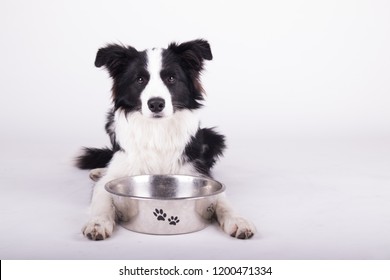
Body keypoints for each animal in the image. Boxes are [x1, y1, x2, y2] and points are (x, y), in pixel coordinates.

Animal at [77, 40, 254, 241]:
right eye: (140, 80)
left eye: (171, 78)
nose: (156, 104)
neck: (158, 131)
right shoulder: (113, 178)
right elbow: (102, 198)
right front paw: (97, 223)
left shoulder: (197, 172)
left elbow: (222, 200)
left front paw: (238, 220)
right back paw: (98, 171)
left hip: (213, 138)